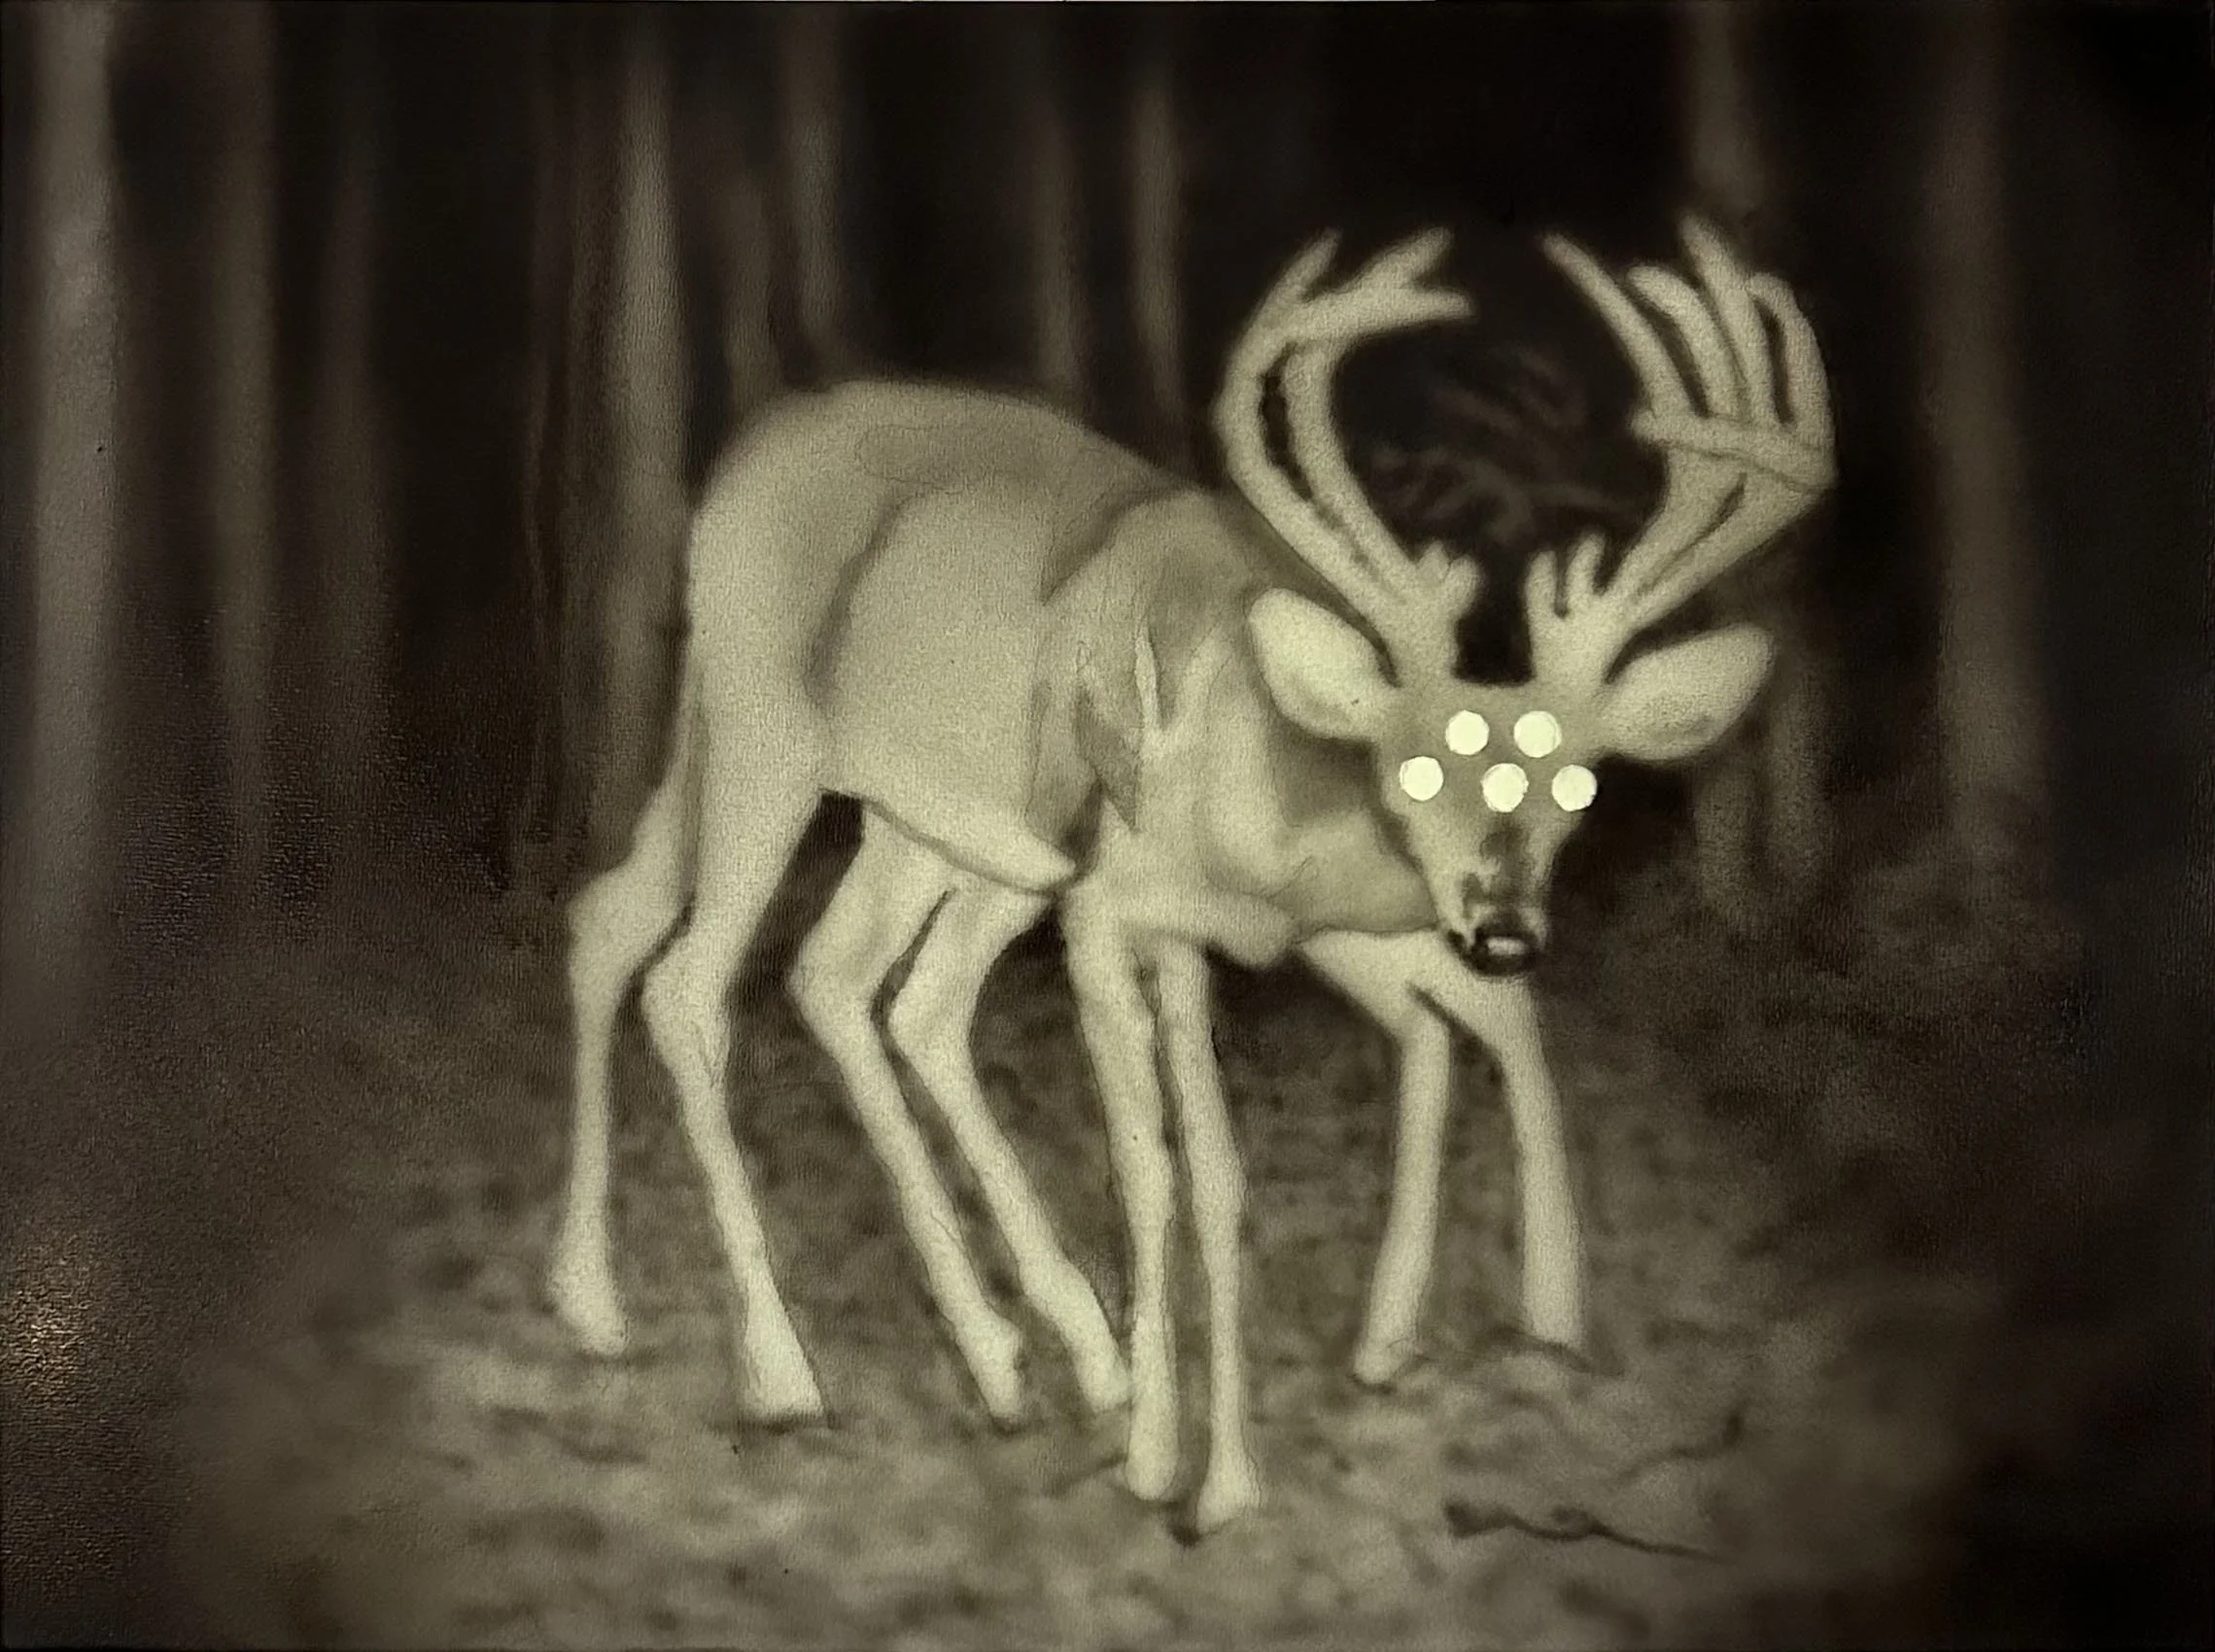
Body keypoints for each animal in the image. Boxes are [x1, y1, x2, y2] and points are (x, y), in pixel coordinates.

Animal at [547, 215, 1833, 1536]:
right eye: (1413, 764)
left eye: (1581, 780)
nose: (1507, 920)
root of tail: (733, 466)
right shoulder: (1118, 909)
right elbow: (1156, 1166)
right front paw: (1168, 1461)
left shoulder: (1297, 925)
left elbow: (1317, 1114)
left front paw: (1502, 1326)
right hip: (767, 730)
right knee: (693, 983)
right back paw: (785, 1369)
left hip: (929, 822)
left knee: (793, 966)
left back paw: (974, 1350)